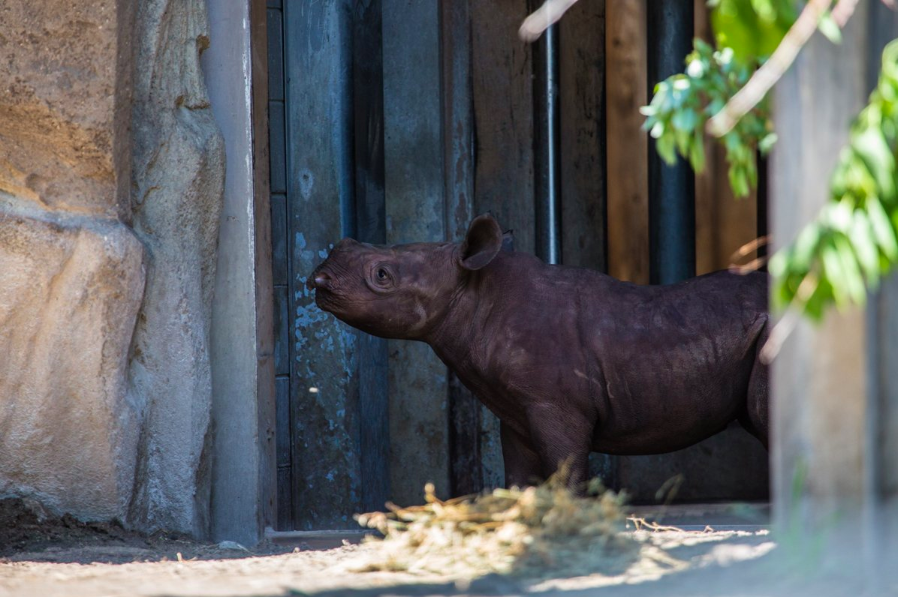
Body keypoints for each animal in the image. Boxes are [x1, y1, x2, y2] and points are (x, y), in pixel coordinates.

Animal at [306, 214, 764, 488]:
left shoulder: (557, 405)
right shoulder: (518, 411)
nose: (318, 279)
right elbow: (520, 479)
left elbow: (565, 471)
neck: (476, 294)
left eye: (382, 275)